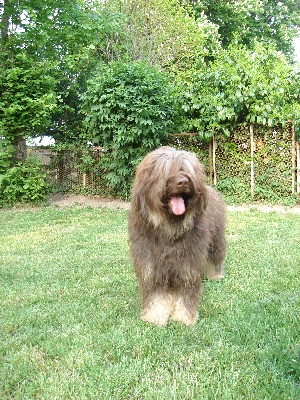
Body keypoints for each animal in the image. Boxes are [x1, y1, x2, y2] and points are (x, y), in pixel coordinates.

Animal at [127, 145, 226, 326]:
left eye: (186, 169)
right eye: (166, 169)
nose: (184, 181)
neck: (169, 229)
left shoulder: (188, 263)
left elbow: (187, 290)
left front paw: (183, 317)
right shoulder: (151, 263)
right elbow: (156, 294)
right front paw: (155, 316)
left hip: (216, 238)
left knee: (216, 256)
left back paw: (215, 274)